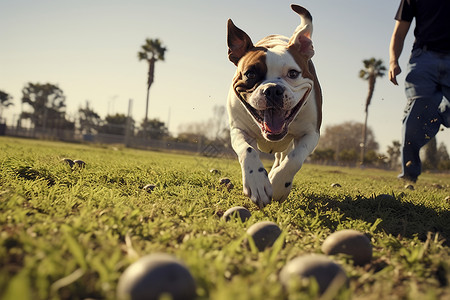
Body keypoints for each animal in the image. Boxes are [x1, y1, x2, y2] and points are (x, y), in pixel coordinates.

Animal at [227, 4, 322, 209]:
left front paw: (278, 184)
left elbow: (294, 159)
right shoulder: (238, 129)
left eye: (293, 73)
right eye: (250, 74)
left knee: (283, 157)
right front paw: (257, 182)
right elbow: (247, 150)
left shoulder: (311, 133)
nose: (272, 90)